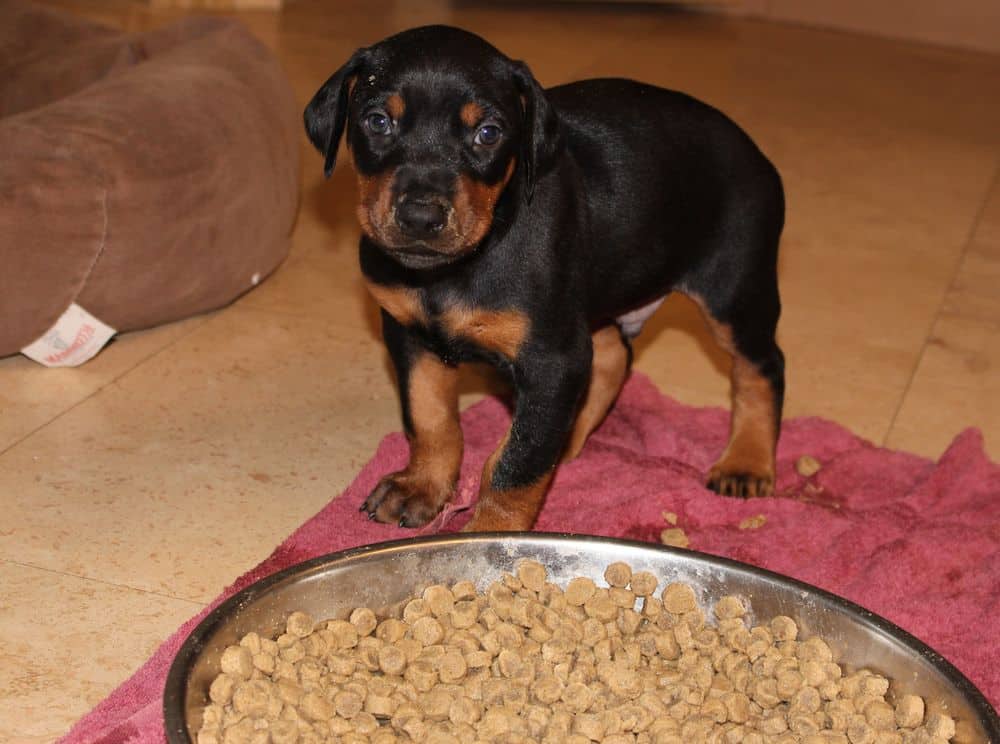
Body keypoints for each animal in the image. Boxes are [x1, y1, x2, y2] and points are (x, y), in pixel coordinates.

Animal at [304, 26, 788, 532]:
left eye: (488, 133)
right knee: (614, 357)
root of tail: (757, 154)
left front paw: (490, 536)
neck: (455, 268)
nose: (420, 217)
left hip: (734, 290)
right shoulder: (409, 335)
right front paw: (421, 486)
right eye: (378, 121)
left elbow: (516, 462)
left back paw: (746, 463)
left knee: (763, 367)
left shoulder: (553, 360)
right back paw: (571, 437)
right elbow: (430, 417)